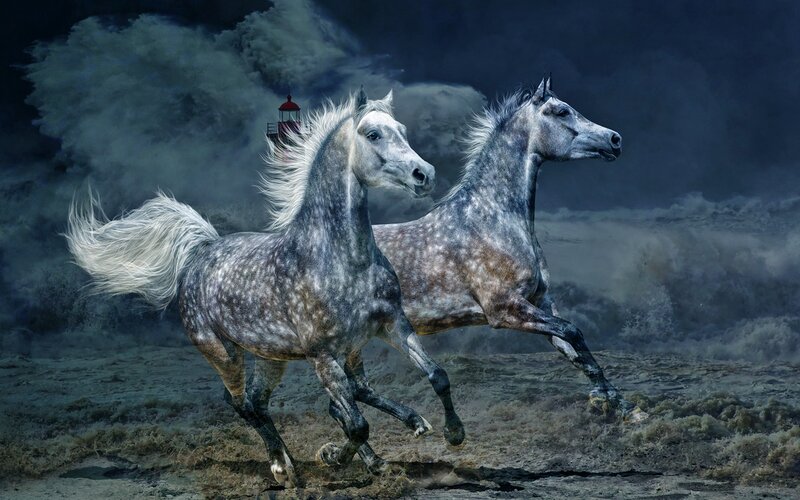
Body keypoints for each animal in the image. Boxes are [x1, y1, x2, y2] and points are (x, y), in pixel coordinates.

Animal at [66, 89, 465, 488]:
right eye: (372, 134)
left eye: (402, 130)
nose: (424, 175)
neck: (341, 258)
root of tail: (202, 251)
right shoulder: (322, 355)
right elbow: (355, 424)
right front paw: (335, 457)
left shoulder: (391, 325)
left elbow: (436, 376)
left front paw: (451, 432)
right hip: (223, 352)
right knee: (242, 403)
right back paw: (282, 467)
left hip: (273, 355)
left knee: (266, 401)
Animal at [373, 77, 647, 422]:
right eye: (561, 111)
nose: (614, 140)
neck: (491, 221)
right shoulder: (504, 309)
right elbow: (573, 332)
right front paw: (605, 400)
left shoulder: (540, 304)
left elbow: (576, 350)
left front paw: (624, 407)